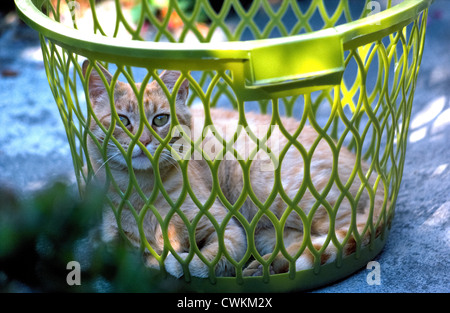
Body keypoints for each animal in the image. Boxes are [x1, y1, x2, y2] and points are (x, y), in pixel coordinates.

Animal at [82, 59, 384, 276]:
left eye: (160, 119)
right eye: (122, 120)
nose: (144, 141)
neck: (142, 193)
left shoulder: (228, 230)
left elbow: (206, 260)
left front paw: (174, 263)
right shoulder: (111, 238)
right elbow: (116, 250)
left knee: (342, 232)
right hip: (267, 232)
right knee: (298, 245)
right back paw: (264, 266)